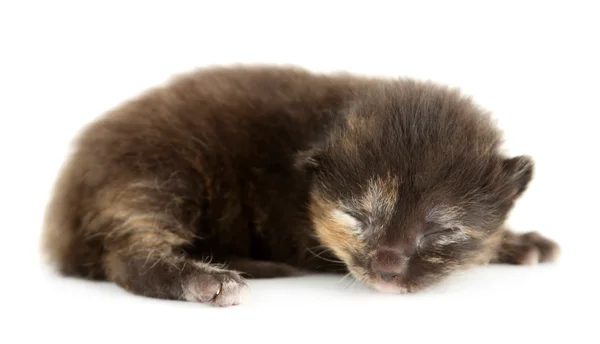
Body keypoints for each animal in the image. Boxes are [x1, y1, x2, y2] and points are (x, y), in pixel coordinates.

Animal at [41, 64, 556, 306]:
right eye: (357, 216)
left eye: (441, 230)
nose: (387, 270)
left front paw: (518, 241)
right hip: (154, 176)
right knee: (126, 256)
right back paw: (204, 279)